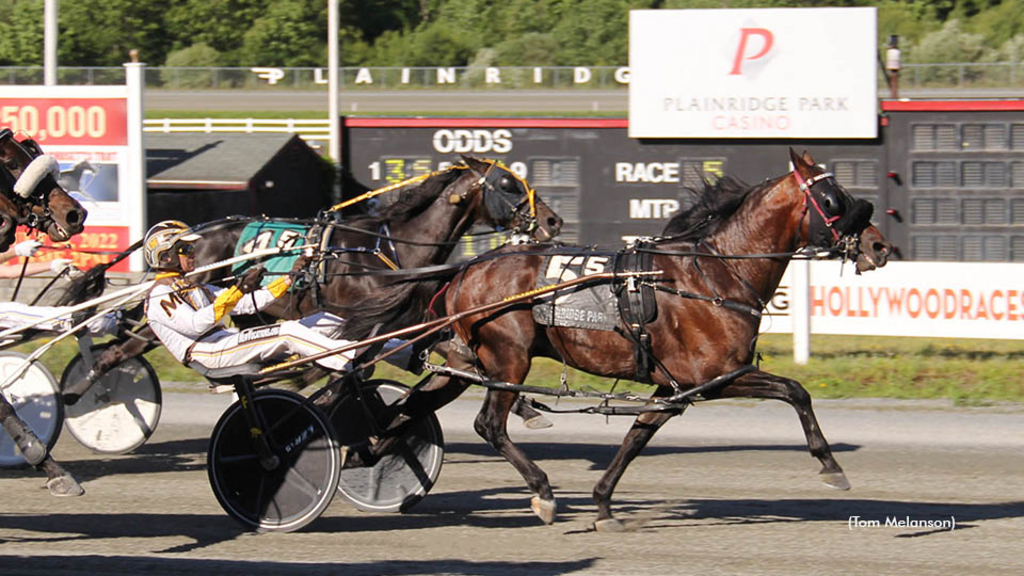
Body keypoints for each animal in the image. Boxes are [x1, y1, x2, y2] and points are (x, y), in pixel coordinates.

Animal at [358, 147, 888, 528]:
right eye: (834, 200)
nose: (879, 245)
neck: (713, 274)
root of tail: (468, 267)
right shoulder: (718, 375)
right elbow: (795, 391)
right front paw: (831, 465)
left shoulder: (675, 386)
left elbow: (638, 435)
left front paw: (603, 505)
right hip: (508, 358)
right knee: (488, 425)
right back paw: (542, 492)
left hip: (465, 365)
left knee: (408, 409)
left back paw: (373, 450)